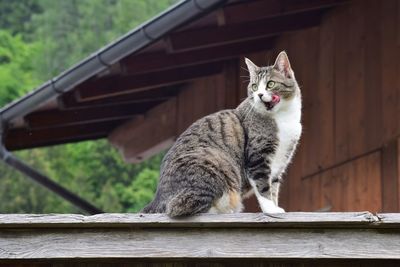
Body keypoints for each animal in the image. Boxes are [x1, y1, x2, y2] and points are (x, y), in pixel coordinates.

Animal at [142, 51, 302, 218]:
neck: (282, 116)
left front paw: (275, 205)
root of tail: (158, 198)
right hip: (214, 163)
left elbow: (274, 187)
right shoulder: (258, 157)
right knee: (179, 207)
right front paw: (271, 209)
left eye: (270, 84)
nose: (259, 94)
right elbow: (263, 186)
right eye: (254, 86)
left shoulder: (280, 162)